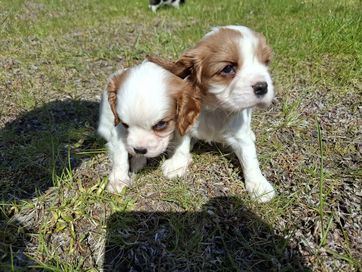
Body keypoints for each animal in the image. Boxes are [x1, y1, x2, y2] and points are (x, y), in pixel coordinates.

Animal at [97, 61, 199, 193]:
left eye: (161, 124)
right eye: (125, 124)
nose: (139, 150)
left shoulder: (183, 120)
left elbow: (181, 139)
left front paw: (177, 165)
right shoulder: (117, 127)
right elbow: (120, 152)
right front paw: (118, 179)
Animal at [148, 25, 276, 203]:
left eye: (266, 63)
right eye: (228, 68)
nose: (263, 86)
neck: (216, 108)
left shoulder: (240, 136)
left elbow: (250, 157)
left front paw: (259, 185)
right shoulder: (186, 121)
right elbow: (182, 143)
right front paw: (177, 163)